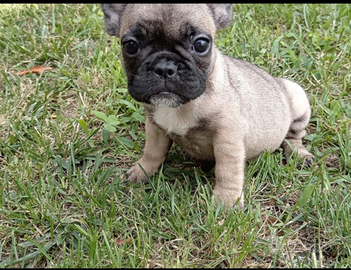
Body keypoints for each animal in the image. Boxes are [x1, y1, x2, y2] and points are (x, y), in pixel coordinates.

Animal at [100, 3, 314, 208]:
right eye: (130, 46)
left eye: (201, 44)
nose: (164, 67)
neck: (180, 107)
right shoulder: (155, 127)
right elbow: (152, 151)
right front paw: (141, 171)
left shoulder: (227, 138)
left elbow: (227, 170)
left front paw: (227, 201)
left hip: (297, 97)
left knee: (293, 136)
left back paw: (300, 155)